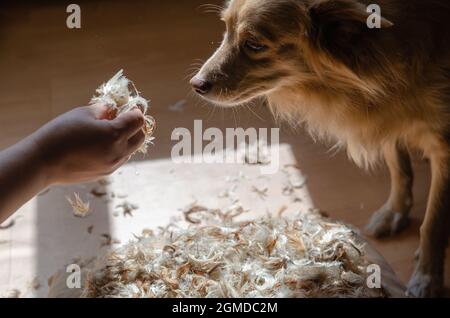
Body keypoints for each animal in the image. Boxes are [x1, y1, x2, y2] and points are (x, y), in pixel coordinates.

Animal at [191, 0, 450, 298]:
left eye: (254, 44)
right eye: (225, 28)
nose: (196, 84)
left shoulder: (444, 147)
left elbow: (433, 224)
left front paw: (427, 277)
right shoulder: (388, 117)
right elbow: (400, 170)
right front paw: (395, 212)